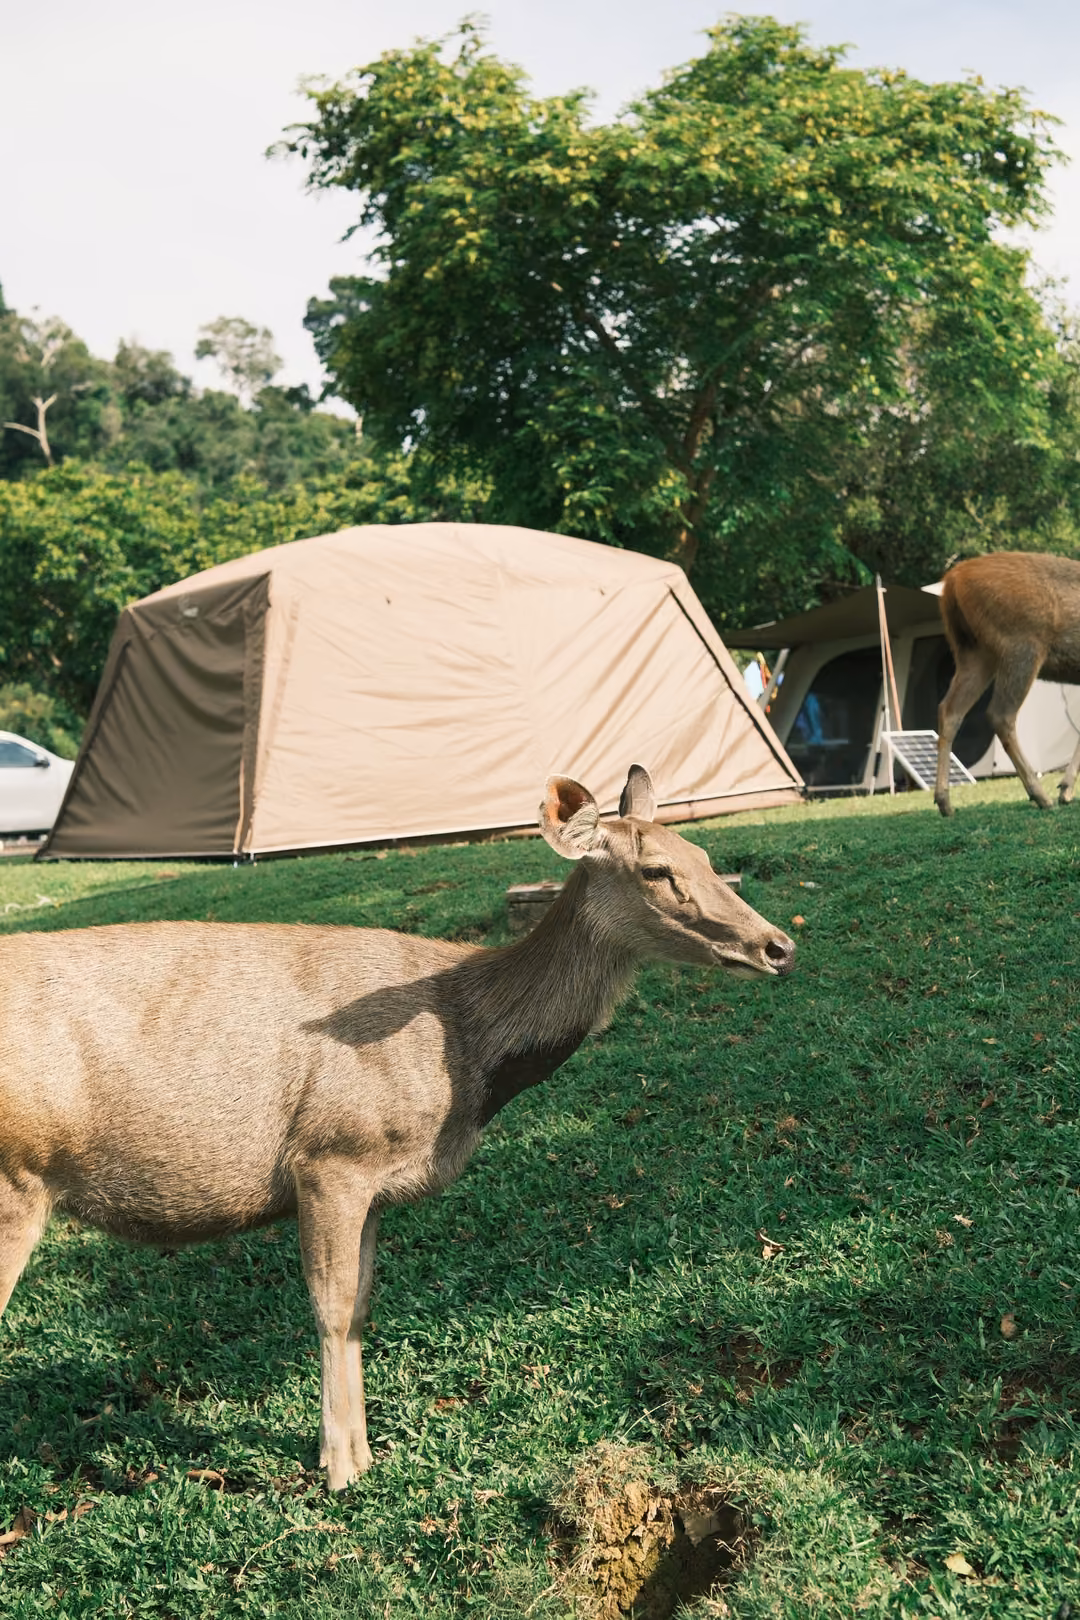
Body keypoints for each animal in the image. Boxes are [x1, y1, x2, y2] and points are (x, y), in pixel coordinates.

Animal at [0, 766, 795, 1490]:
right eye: (657, 870)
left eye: (703, 853)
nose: (778, 945)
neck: (466, 1055)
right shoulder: (331, 1154)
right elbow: (328, 1308)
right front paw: (342, 1468)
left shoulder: (374, 1183)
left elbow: (358, 1309)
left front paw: (359, 1451)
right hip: (17, 1179)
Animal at [935, 551, 1080, 817]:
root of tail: (952, 581)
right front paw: (1064, 791)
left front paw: (1066, 789)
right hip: (1021, 647)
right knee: (1000, 715)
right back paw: (1040, 795)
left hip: (973, 653)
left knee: (949, 710)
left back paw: (944, 802)